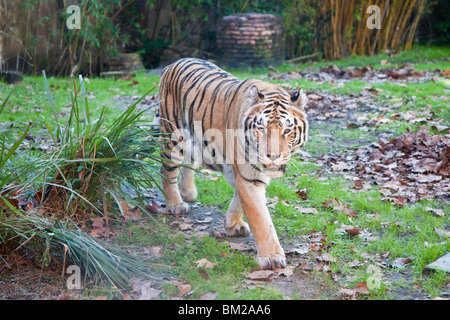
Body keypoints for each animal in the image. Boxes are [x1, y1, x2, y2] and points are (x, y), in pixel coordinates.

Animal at [156, 58, 308, 270]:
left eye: (287, 130)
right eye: (261, 128)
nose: (273, 156)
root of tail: (173, 63)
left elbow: (240, 199)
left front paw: (232, 224)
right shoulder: (248, 175)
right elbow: (260, 217)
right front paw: (271, 257)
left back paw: (188, 193)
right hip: (172, 135)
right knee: (167, 170)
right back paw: (176, 204)